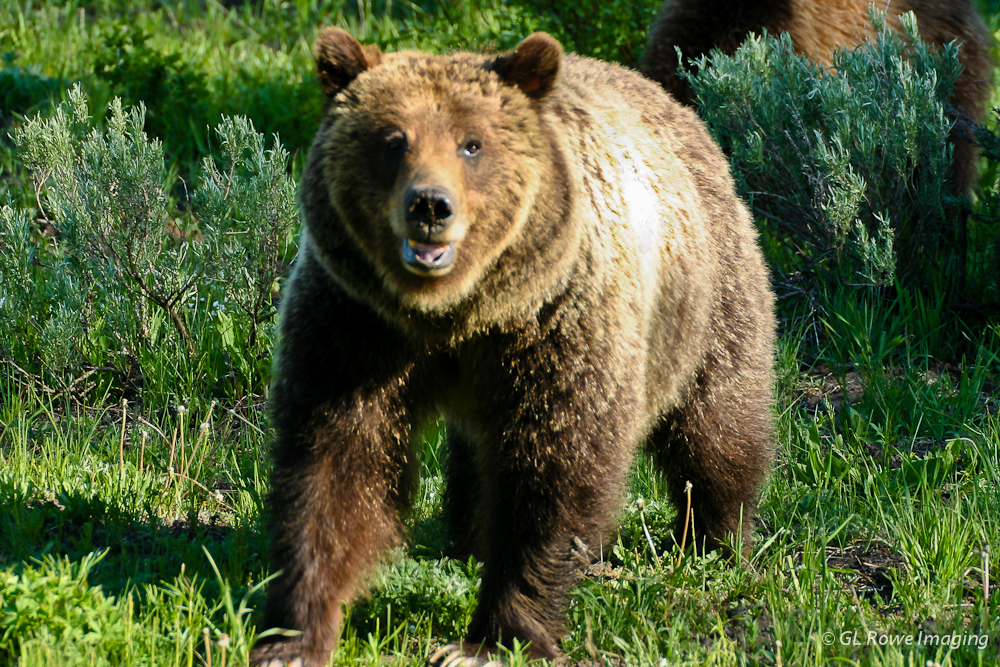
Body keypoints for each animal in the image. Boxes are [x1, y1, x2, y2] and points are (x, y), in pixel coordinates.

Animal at [249, 27, 775, 667]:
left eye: (471, 145)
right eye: (392, 140)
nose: (430, 206)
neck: (455, 314)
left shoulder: (556, 328)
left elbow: (554, 474)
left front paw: (490, 639)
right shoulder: (356, 329)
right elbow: (335, 467)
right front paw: (294, 635)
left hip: (704, 301)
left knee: (716, 427)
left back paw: (716, 541)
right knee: (474, 460)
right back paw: (465, 540)